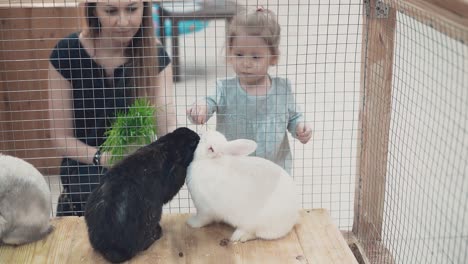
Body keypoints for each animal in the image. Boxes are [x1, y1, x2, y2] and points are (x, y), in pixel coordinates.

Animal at [84, 127, 199, 262]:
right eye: (194, 142)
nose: (199, 137)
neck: (167, 146)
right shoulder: (171, 181)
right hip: (153, 213)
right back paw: (156, 233)